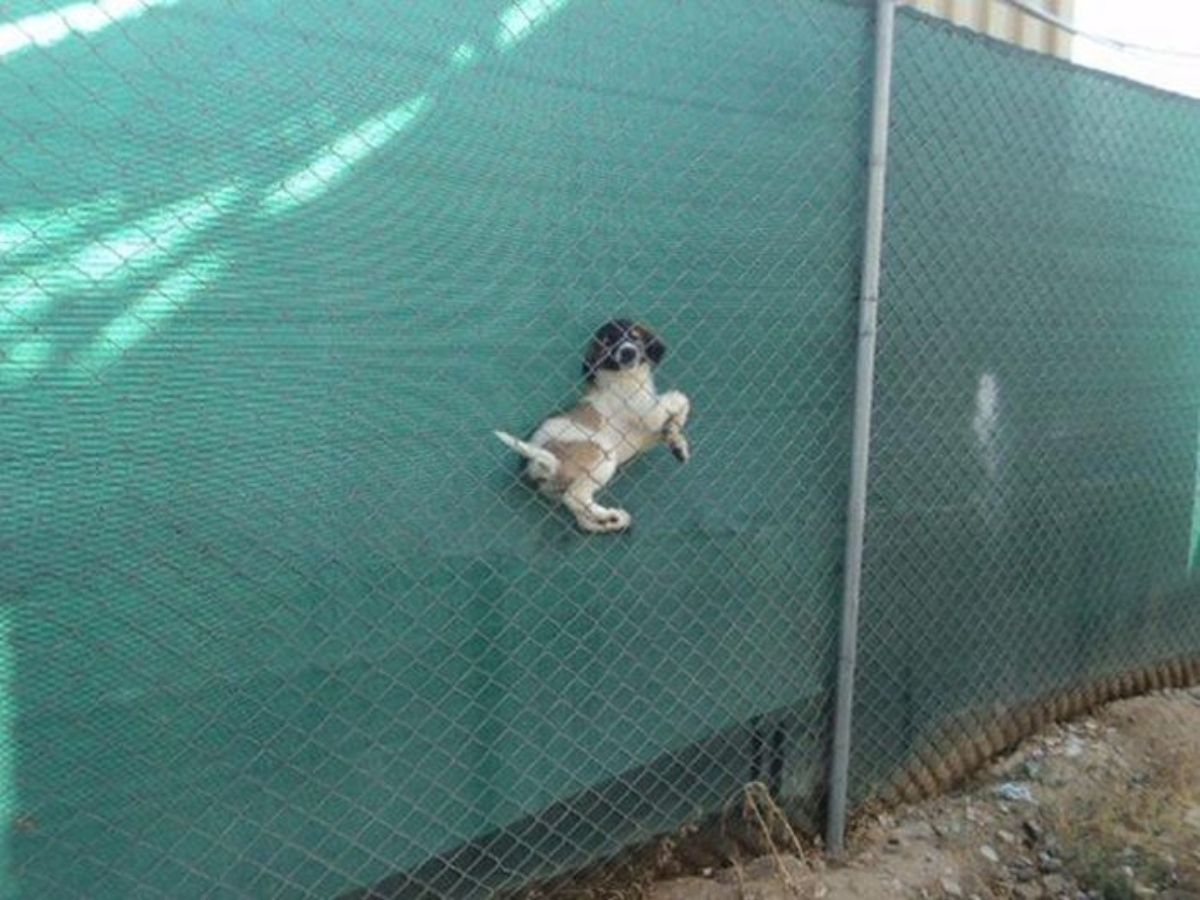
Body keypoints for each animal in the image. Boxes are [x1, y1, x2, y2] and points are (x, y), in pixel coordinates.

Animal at [492, 321, 691, 532]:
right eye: (607, 343)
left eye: (634, 336)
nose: (628, 352)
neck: (626, 378)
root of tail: (540, 463)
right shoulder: (650, 414)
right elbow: (680, 397)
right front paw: (676, 431)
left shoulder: (642, 438)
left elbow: (671, 422)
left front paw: (677, 443)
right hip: (602, 453)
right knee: (575, 498)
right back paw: (608, 516)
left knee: (581, 516)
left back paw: (610, 520)